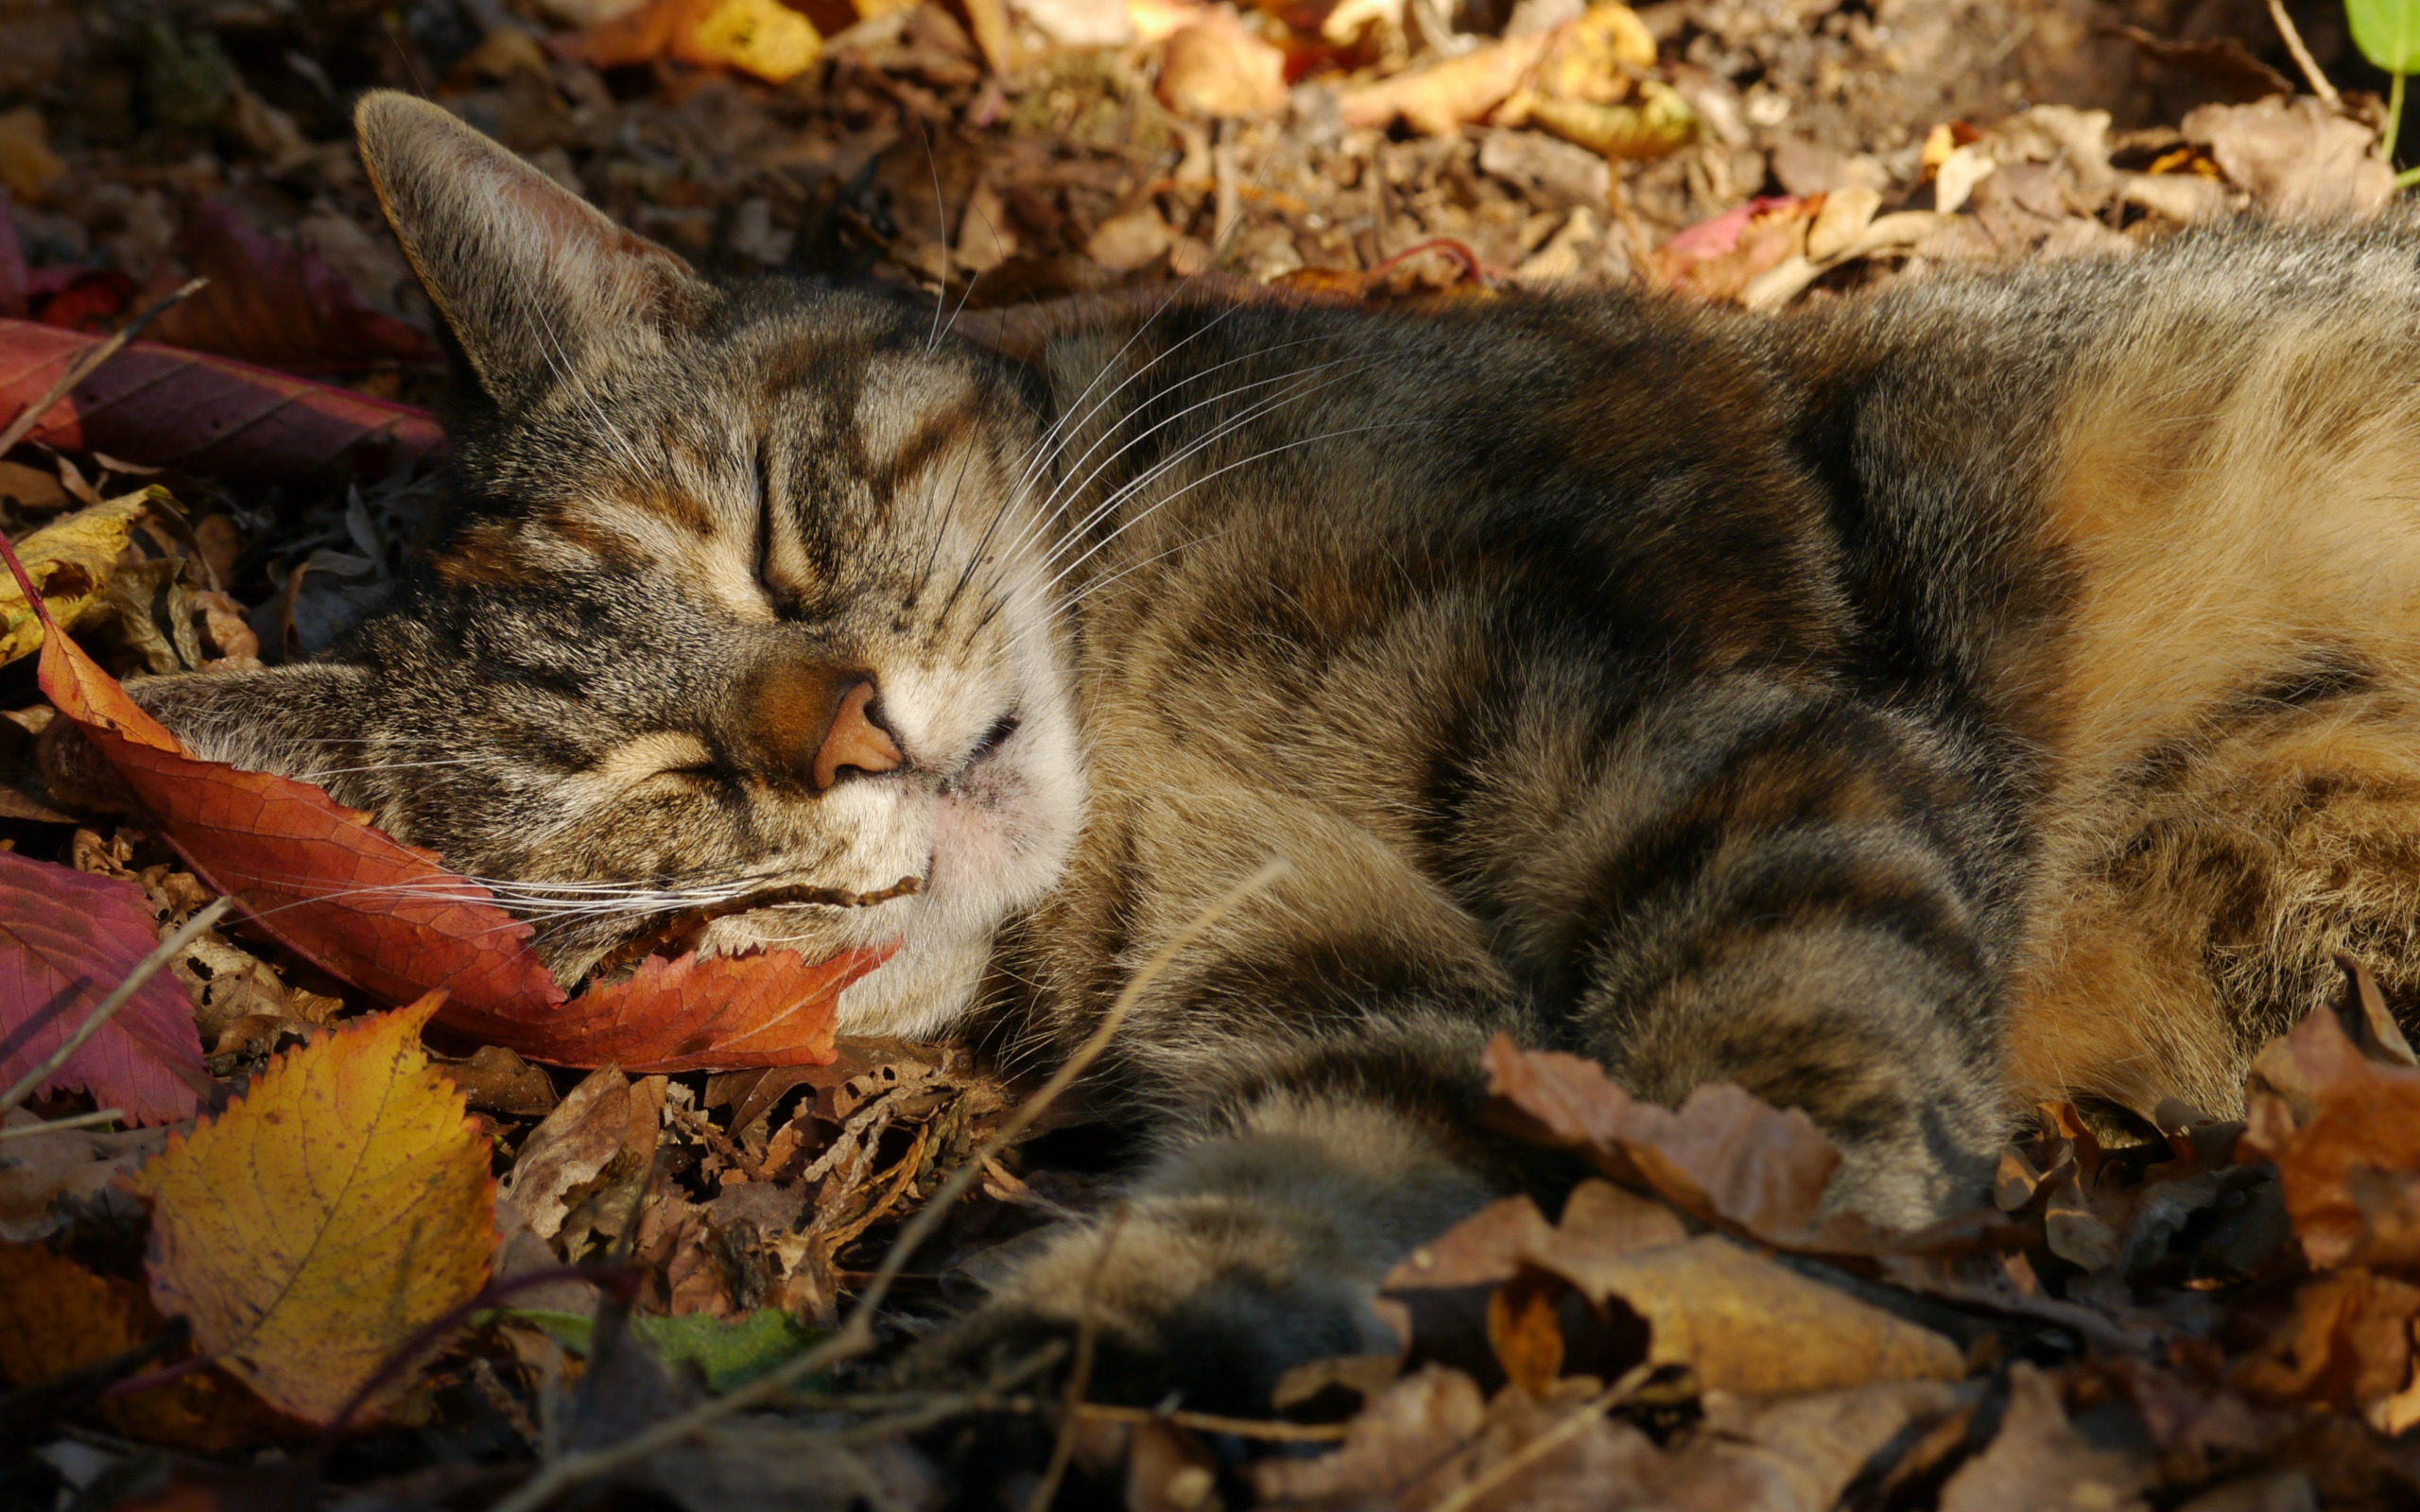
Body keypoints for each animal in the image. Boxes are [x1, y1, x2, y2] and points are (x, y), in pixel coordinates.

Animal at [122, 91, 2420, 1413]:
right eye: (657, 790)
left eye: (771, 541)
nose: (846, 726)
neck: (1140, 717)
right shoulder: (1355, 1019)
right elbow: (1243, 1238)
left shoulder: (1703, 726)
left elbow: (1779, 1075)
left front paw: (1787, 1253)